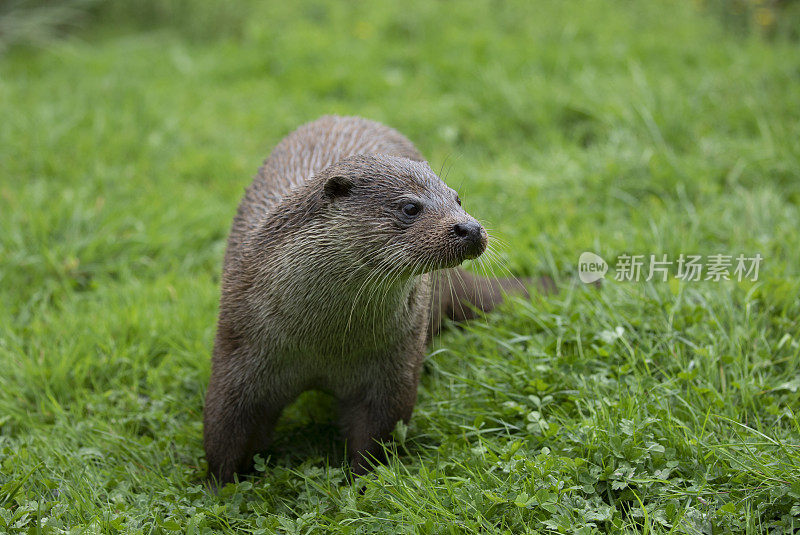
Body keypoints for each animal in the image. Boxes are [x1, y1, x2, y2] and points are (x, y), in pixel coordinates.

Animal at [205, 116, 532, 486]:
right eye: (410, 207)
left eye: (458, 199)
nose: (470, 228)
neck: (325, 343)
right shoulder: (240, 352)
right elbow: (226, 429)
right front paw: (219, 488)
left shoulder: (392, 371)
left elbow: (376, 433)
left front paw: (363, 482)